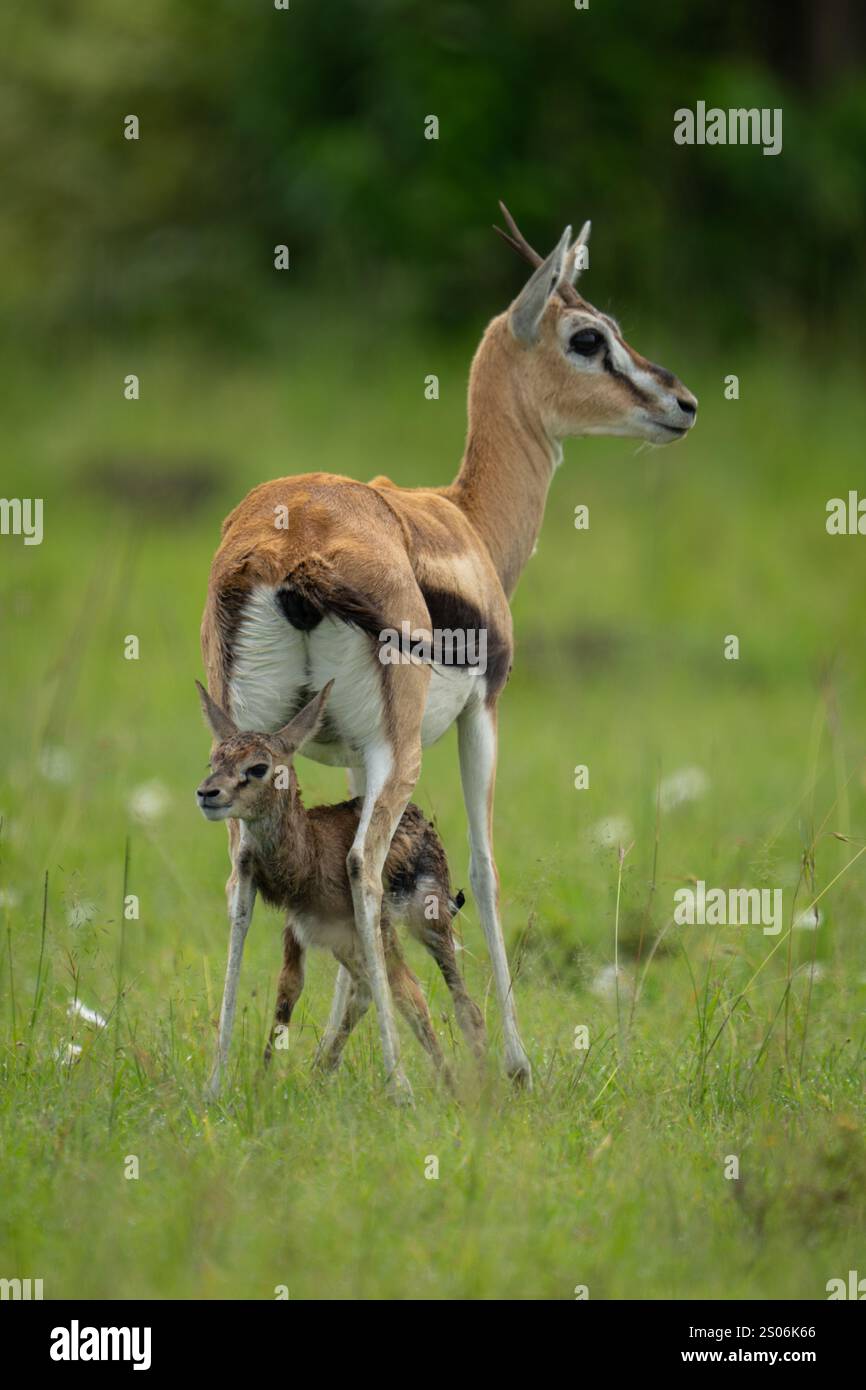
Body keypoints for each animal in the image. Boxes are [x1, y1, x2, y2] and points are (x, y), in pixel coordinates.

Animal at [194, 679, 485, 1087]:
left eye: (258, 766)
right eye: (214, 761)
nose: (207, 794)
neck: (313, 854)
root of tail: (422, 818)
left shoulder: (377, 927)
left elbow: (409, 996)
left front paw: (448, 1087)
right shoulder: (301, 929)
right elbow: (288, 991)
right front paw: (263, 1078)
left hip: (430, 923)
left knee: (463, 1004)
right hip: (348, 944)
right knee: (362, 991)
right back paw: (322, 1068)